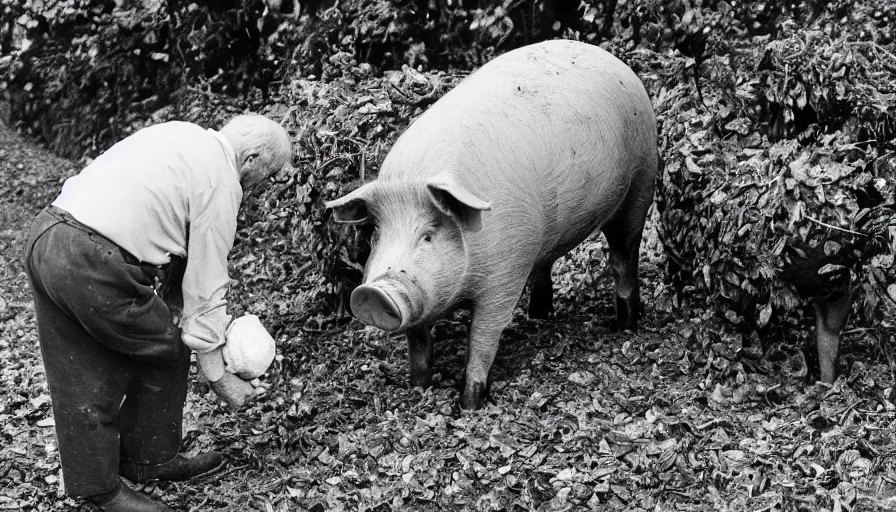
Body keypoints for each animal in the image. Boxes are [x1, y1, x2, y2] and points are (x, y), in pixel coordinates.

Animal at [326, 39, 656, 408]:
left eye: (428, 235)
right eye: (378, 234)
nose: (371, 293)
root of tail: (609, 58)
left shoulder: (504, 277)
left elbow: (482, 338)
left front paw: (469, 403)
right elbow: (419, 345)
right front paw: (418, 389)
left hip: (640, 182)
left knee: (623, 255)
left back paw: (626, 326)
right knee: (546, 264)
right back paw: (538, 315)